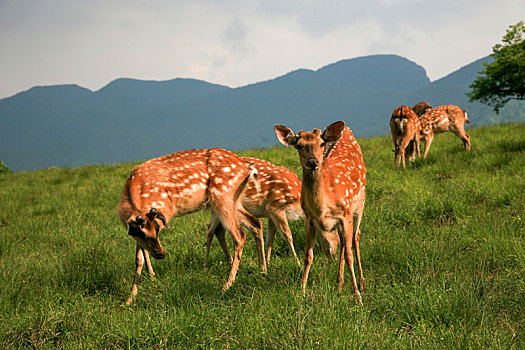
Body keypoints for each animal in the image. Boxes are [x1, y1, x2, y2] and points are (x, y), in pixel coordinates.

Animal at [118, 146, 266, 304]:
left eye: (158, 230)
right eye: (143, 234)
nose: (161, 254)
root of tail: (247, 168)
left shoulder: (165, 209)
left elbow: (140, 256)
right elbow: (138, 258)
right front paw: (131, 298)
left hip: (223, 196)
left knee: (240, 235)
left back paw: (227, 285)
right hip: (234, 200)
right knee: (256, 223)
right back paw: (263, 270)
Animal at [272, 121, 366, 304]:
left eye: (321, 144)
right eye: (299, 145)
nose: (313, 161)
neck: (322, 207)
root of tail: (347, 130)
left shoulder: (345, 214)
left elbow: (349, 254)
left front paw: (358, 297)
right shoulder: (309, 218)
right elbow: (308, 256)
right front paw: (301, 292)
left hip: (359, 203)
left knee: (356, 236)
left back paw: (362, 283)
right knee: (343, 242)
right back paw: (339, 284)